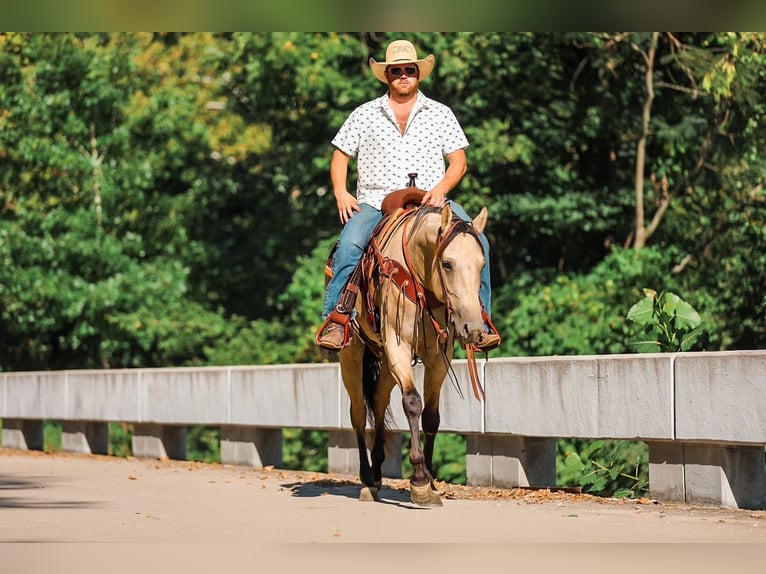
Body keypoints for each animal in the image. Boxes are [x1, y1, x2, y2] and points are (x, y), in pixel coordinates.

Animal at [336, 200, 490, 507]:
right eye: (447, 264)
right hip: (352, 356)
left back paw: (378, 471)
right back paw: (367, 479)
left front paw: (430, 481)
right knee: (358, 412)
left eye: (482, 264)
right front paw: (419, 481)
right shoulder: (398, 345)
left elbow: (431, 415)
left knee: (379, 400)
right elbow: (411, 402)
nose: (474, 329)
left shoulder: (439, 355)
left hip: (384, 360)